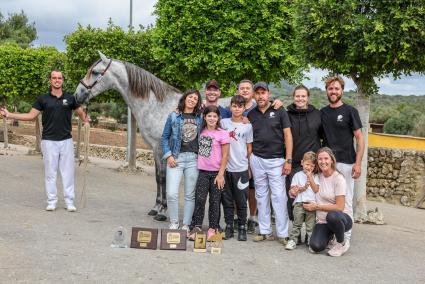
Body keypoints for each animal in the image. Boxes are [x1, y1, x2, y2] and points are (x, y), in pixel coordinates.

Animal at [74, 52, 181, 222]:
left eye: (95, 72)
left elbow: (163, 177)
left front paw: (163, 211)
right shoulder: (154, 149)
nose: (77, 95)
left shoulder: (161, 148)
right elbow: (158, 178)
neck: (158, 106)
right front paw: (155, 208)